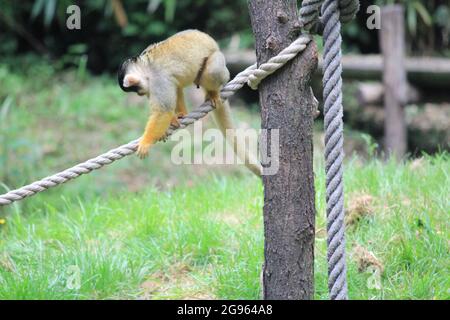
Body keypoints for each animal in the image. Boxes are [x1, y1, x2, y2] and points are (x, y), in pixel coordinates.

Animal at [118, 29, 262, 176]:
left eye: (137, 90)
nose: (140, 94)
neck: (146, 68)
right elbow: (175, 90)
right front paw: (174, 119)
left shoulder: (158, 80)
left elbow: (163, 111)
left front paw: (146, 141)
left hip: (220, 63)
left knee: (212, 71)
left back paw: (213, 92)